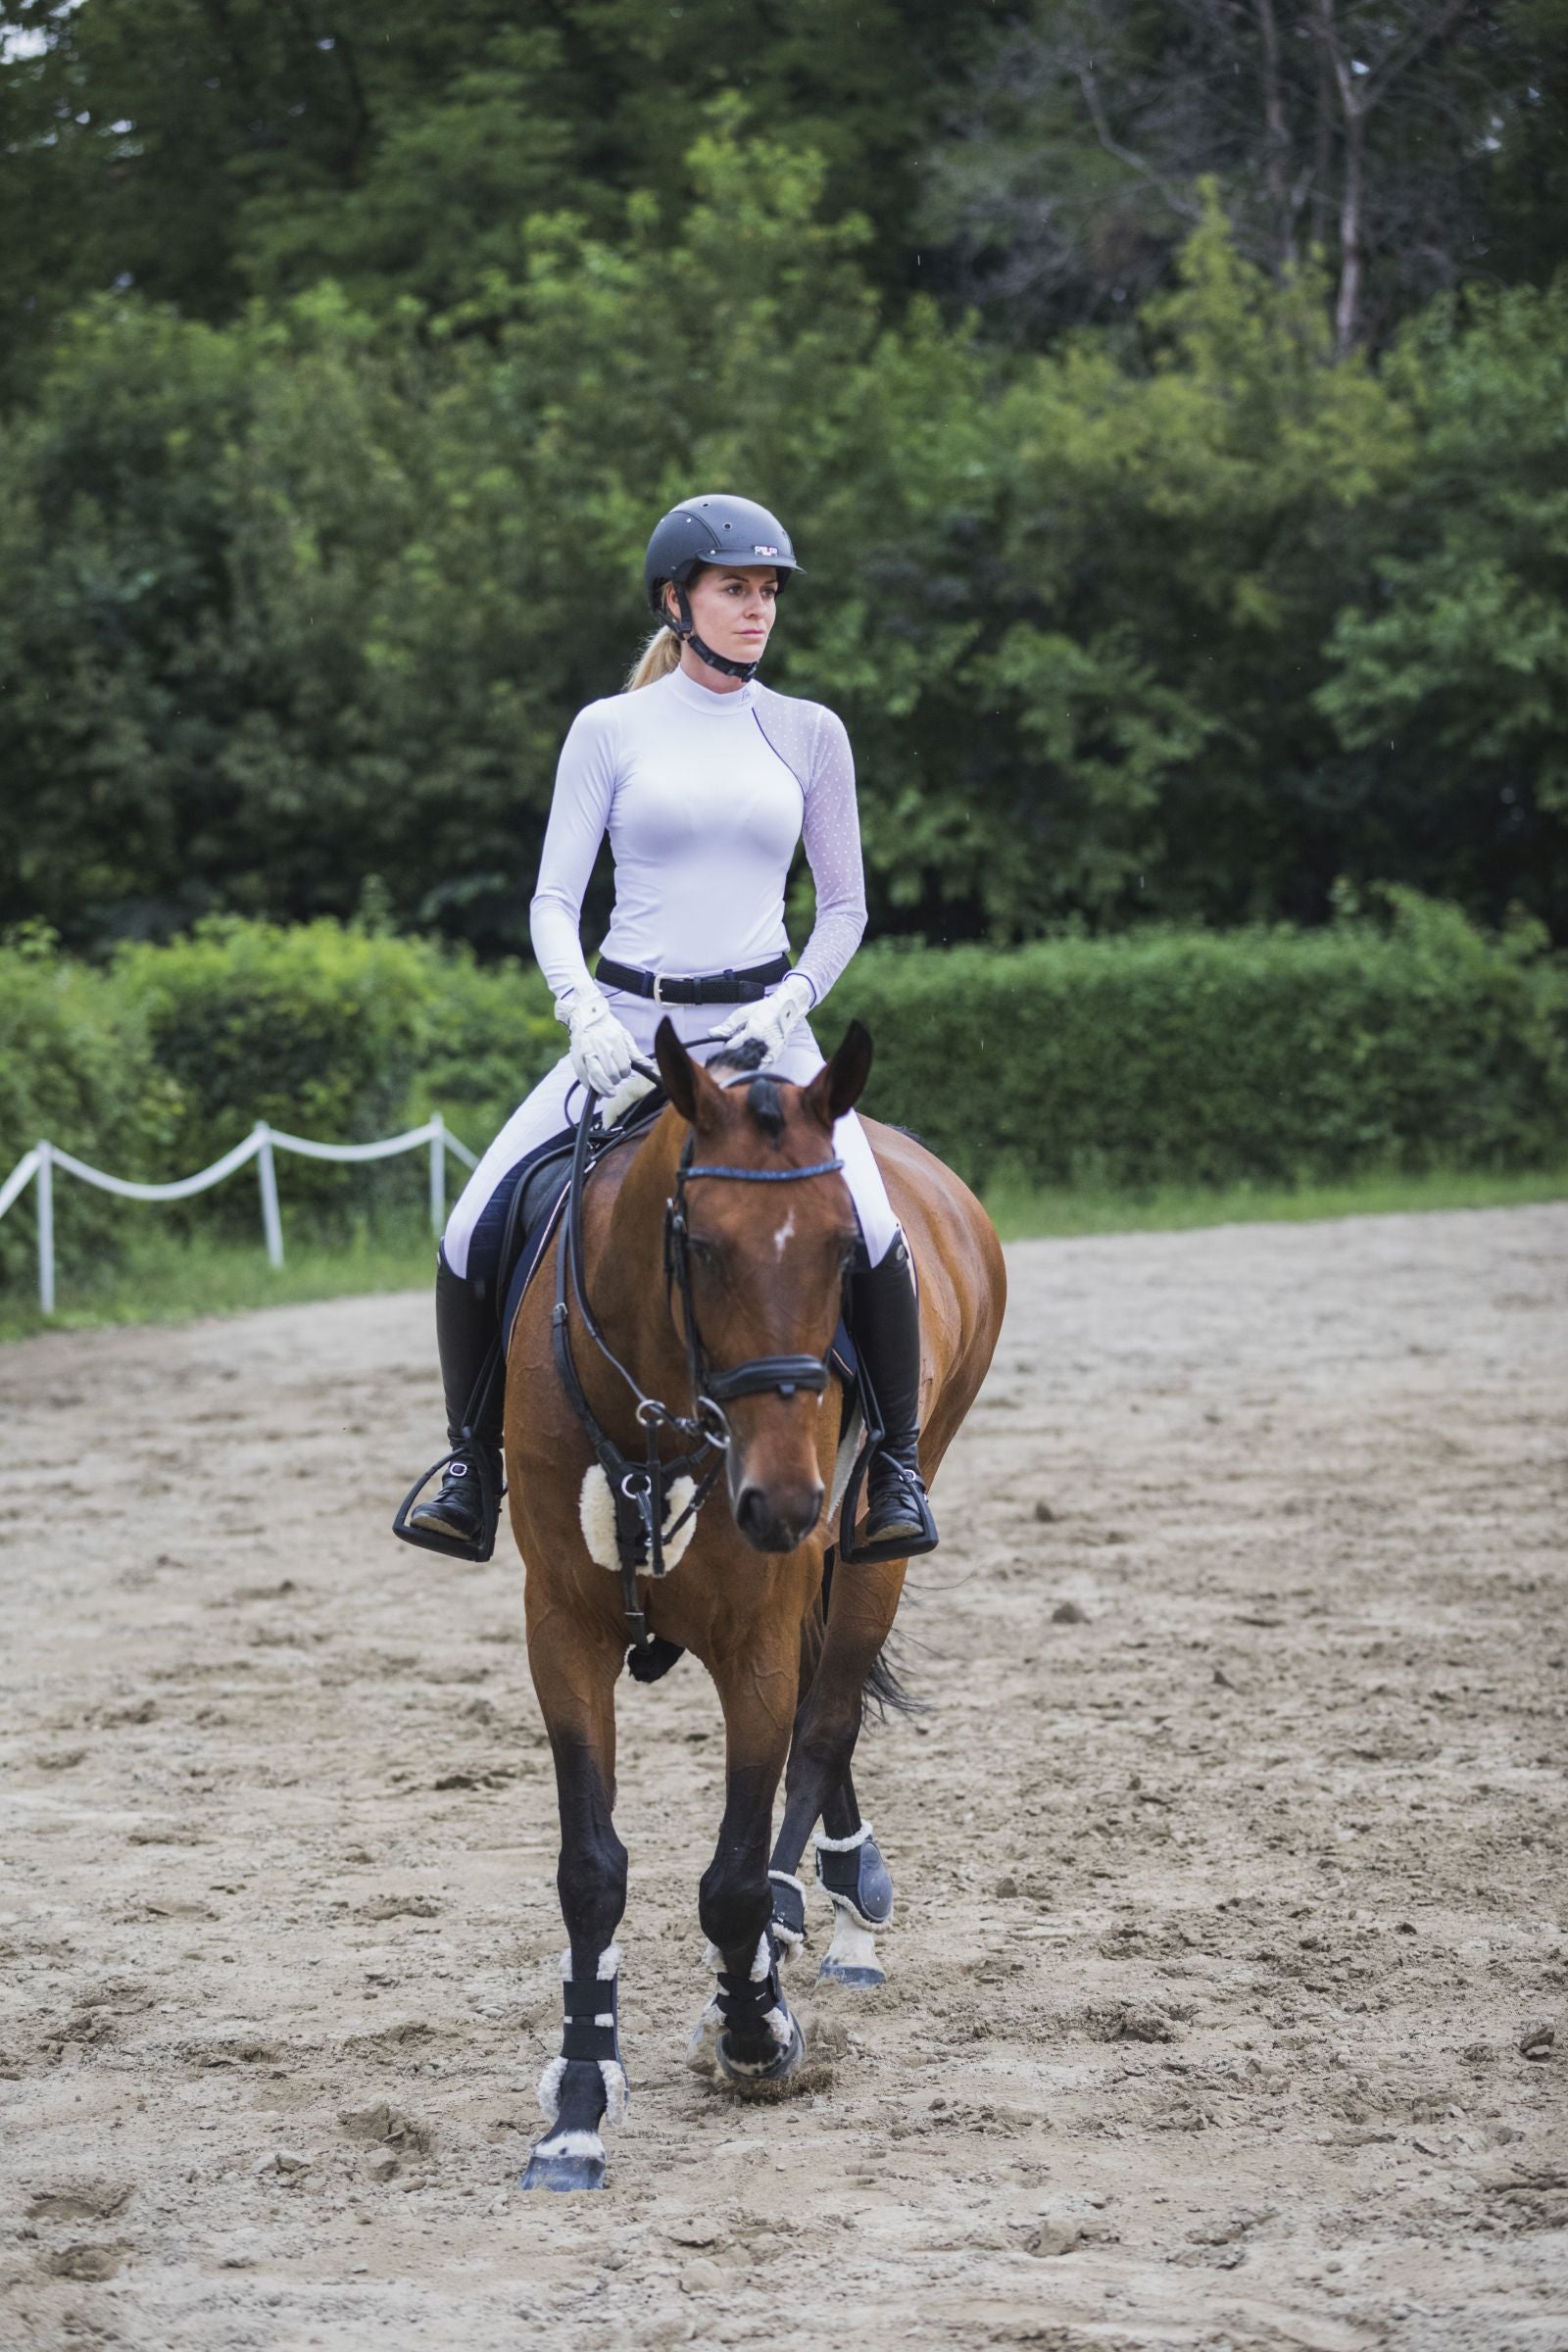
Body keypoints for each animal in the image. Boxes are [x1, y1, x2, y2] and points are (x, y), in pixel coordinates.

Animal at [510, 1020, 1010, 2191]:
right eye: (699, 1247)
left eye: (841, 1255)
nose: (779, 1501)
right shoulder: (561, 1628)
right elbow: (590, 1872)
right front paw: (578, 2107)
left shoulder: (756, 1641)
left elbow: (734, 1875)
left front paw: (753, 2033)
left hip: (875, 1540)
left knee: (825, 1723)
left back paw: (807, 1924)